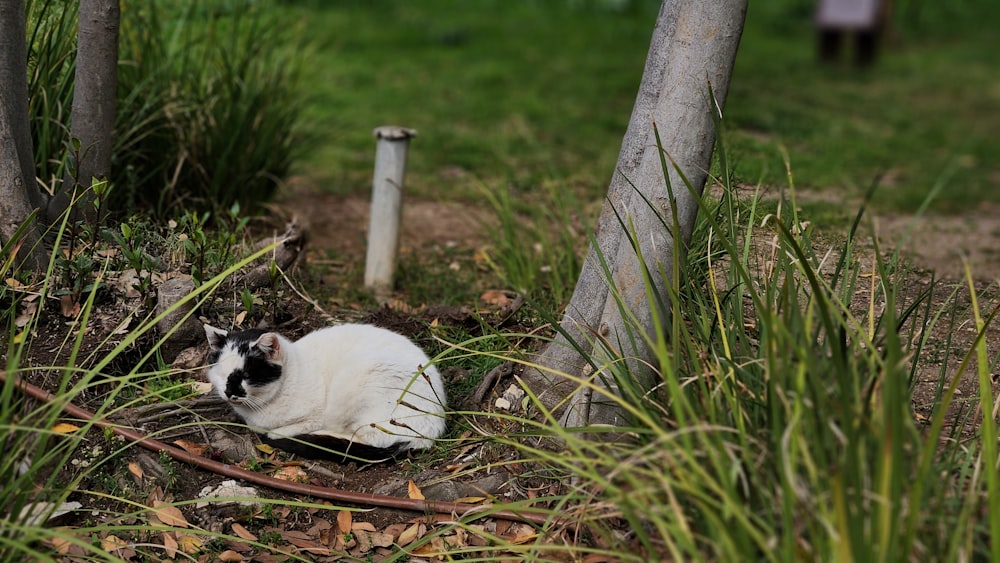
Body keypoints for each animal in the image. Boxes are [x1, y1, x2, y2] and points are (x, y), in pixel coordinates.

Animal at [203, 326, 446, 462]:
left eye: (246, 375)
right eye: (222, 374)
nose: (229, 392)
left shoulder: (314, 416)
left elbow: (277, 430)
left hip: (354, 379)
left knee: (368, 439)